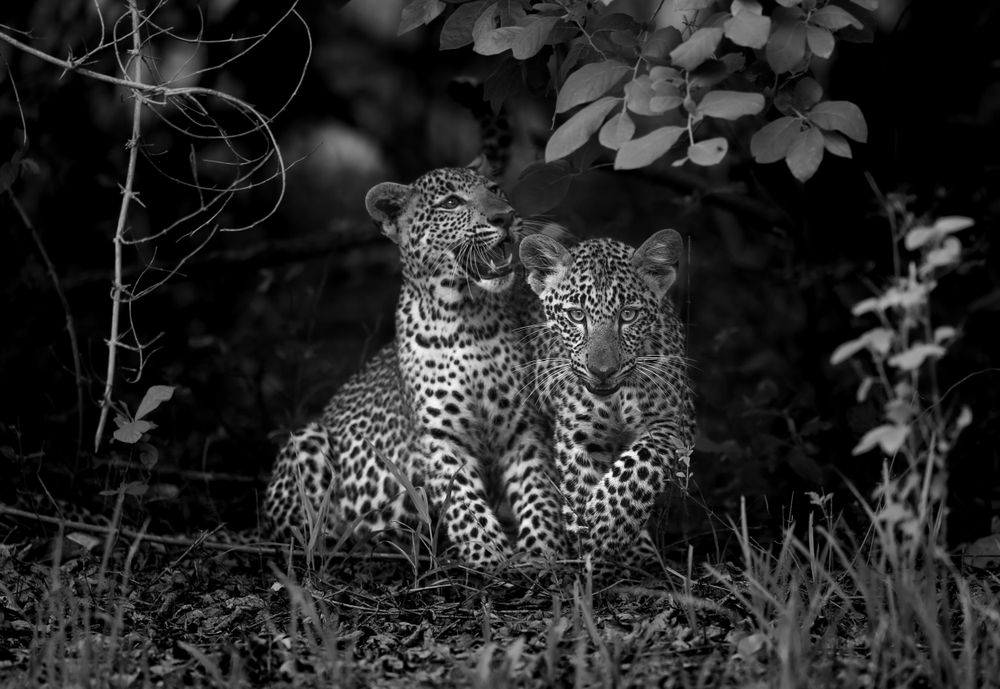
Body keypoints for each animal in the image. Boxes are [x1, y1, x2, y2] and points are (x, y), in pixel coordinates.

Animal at [264, 165, 565, 569]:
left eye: (495, 189)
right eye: (451, 202)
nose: (504, 216)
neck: (470, 316)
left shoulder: (521, 429)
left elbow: (538, 491)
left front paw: (542, 551)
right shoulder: (439, 438)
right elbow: (464, 503)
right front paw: (488, 555)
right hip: (307, 439)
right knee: (299, 532)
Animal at [517, 229, 695, 566]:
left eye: (629, 314)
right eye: (576, 315)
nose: (602, 371)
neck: (614, 400)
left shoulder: (674, 424)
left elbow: (638, 467)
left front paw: (603, 526)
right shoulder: (577, 435)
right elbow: (581, 485)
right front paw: (590, 543)